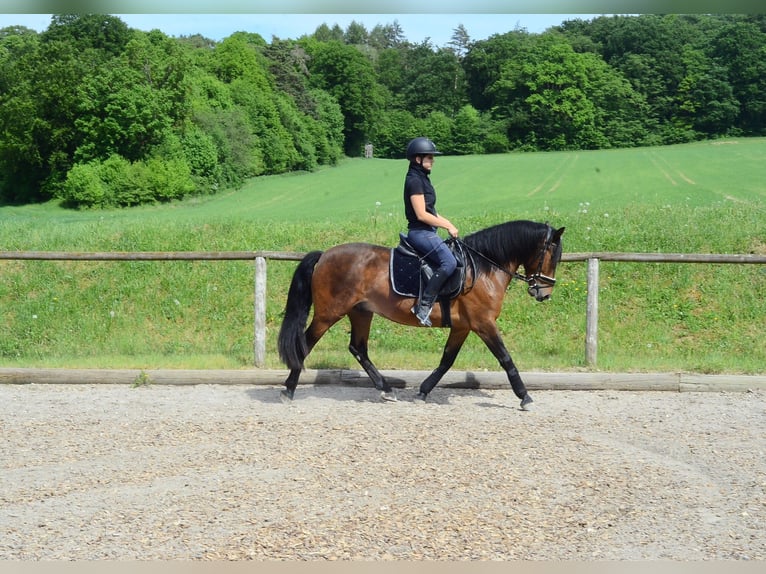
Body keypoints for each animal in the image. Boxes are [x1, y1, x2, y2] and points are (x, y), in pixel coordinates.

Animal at [277, 220, 565, 409]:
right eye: (552, 255)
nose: (544, 293)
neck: (483, 268)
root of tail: (324, 255)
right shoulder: (483, 323)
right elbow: (506, 359)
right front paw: (525, 396)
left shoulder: (463, 326)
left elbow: (446, 360)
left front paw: (423, 391)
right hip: (328, 314)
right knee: (305, 345)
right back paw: (288, 390)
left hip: (360, 312)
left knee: (358, 348)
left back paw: (386, 389)